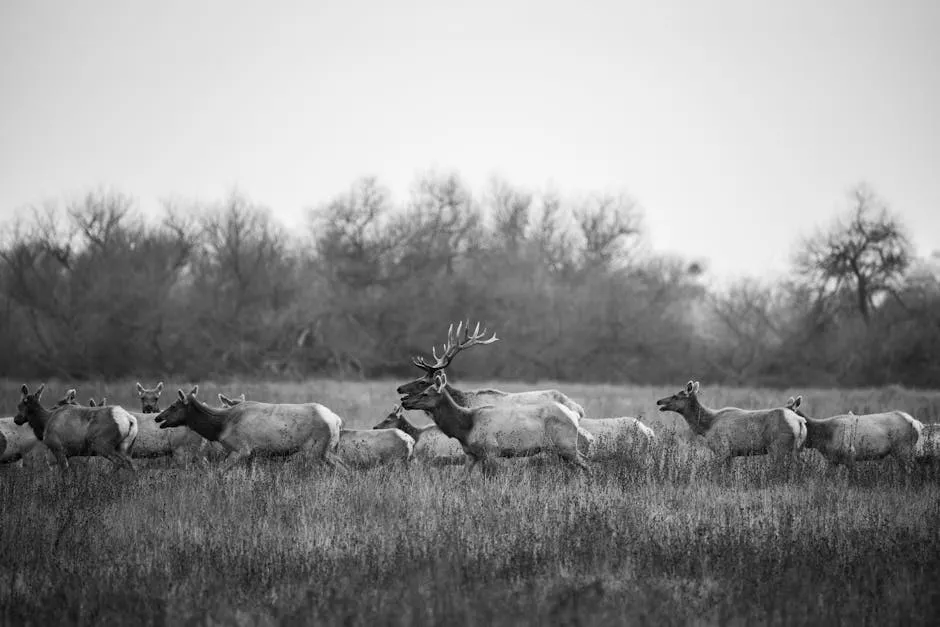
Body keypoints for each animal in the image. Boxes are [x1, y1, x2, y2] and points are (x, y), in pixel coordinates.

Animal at [154, 386, 346, 474]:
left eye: (173, 406)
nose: (158, 418)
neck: (220, 427)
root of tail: (337, 420)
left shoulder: (241, 448)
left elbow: (219, 471)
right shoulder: (252, 454)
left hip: (315, 449)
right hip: (327, 450)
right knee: (345, 467)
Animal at [400, 372, 592, 476]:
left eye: (425, 391)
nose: (404, 401)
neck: (465, 428)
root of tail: (575, 414)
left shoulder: (492, 450)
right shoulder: (471, 454)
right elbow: (461, 480)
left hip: (565, 445)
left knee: (586, 464)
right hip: (559, 449)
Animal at [652, 380, 808, 468]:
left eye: (675, 396)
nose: (659, 401)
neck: (706, 427)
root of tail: (800, 421)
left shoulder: (722, 449)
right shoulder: (730, 454)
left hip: (777, 447)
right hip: (797, 448)